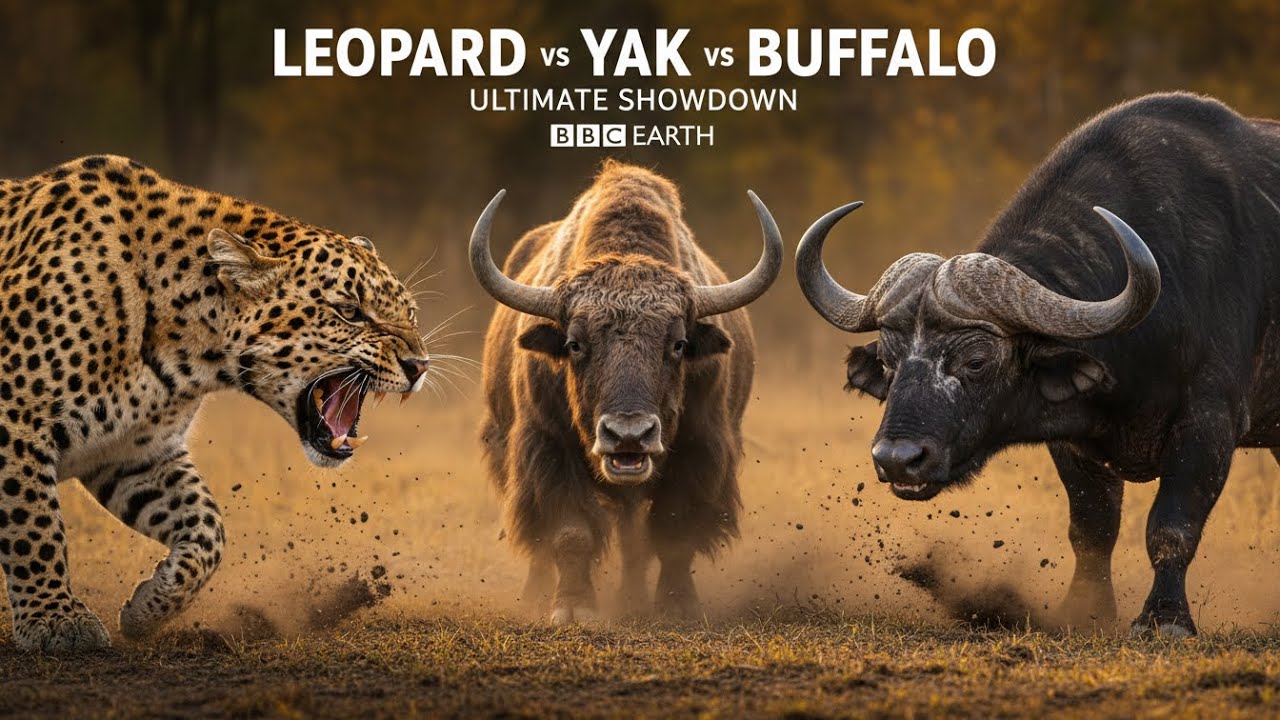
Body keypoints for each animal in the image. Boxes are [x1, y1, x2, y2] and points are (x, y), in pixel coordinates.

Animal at [0, 155, 431, 653]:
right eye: (349, 312)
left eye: (411, 314)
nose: (419, 365)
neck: (185, 353)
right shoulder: (16, 421)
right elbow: (33, 527)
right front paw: (56, 621)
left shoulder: (135, 453)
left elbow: (208, 528)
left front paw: (148, 606)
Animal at [472, 162, 781, 623]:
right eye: (575, 344)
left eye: (678, 344)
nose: (628, 435)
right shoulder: (547, 448)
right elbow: (569, 533)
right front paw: (573, 609)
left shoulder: (700, 451)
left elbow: (675, 532)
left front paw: (677, 607)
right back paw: (537, 594)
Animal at [797, 92, 1280, 636]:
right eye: (888, 359)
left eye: (976, 360)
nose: (898, 459)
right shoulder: (1075, 440)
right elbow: (1092, 527)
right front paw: (1086, 611)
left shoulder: (1210, 423)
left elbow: (1172, 526)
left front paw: (1165, 619)